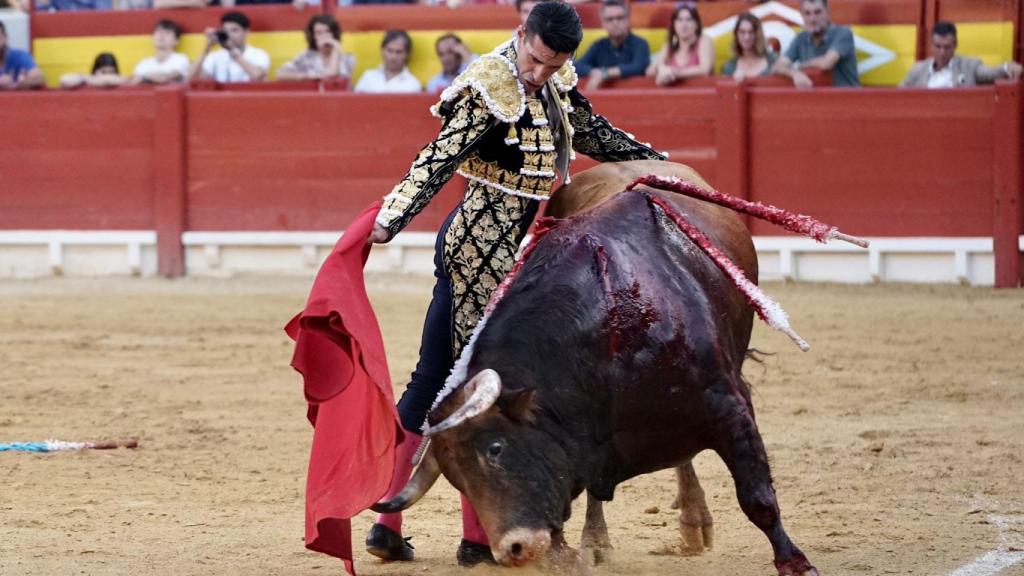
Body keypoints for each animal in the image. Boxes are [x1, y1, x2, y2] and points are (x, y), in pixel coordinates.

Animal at [374, 157, 815, 573]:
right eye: (457, 480)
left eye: (496, 448)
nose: (513, 550)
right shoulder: (580, 438)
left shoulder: (729, 406)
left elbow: (758, 498)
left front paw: (796, 564)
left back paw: (694, 521)